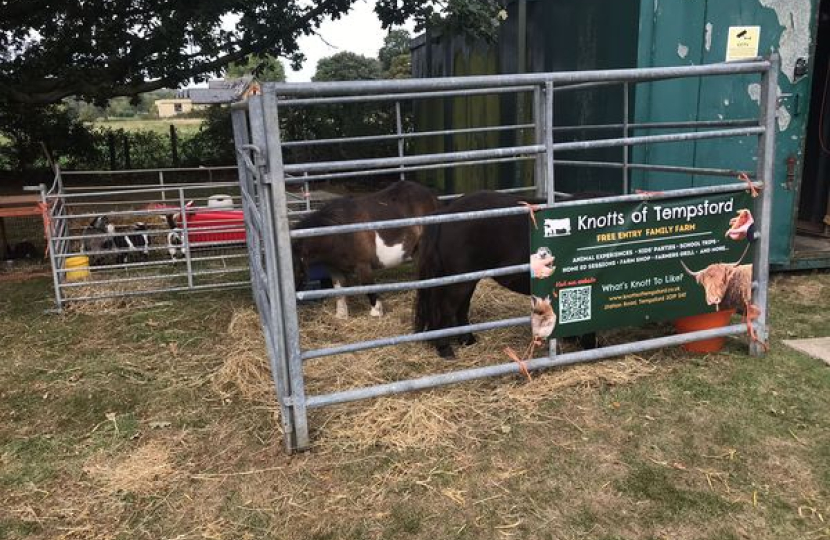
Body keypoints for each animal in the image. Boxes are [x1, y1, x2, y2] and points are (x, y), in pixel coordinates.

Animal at [294, 179, 442, 318]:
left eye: (296, 270)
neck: (338, 234)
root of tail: (431, 195)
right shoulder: (335, 268)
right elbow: (339, 290)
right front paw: (341, 315)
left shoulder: (363, 265)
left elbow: (368, 288)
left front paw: (376, 312)